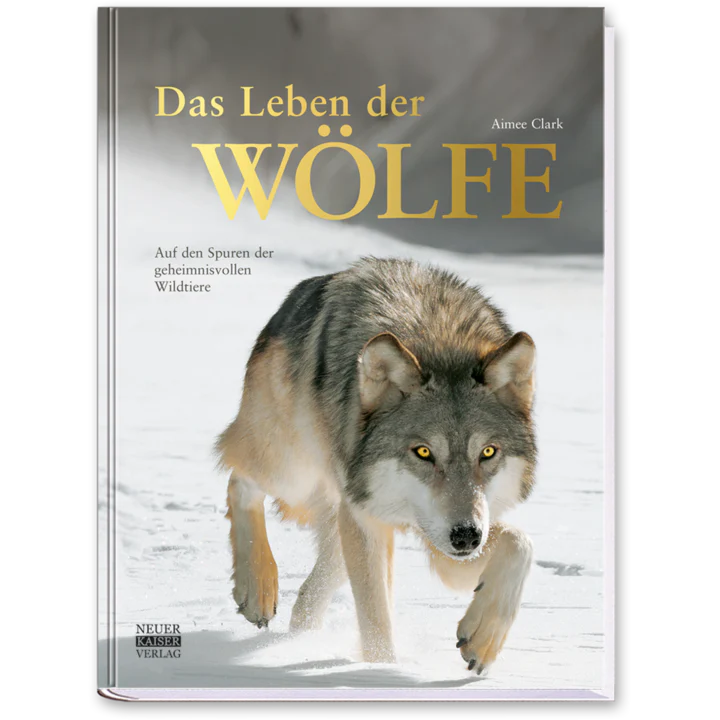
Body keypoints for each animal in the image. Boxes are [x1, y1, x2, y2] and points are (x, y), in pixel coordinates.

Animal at [216, 257, 536, 674]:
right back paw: (257, 590)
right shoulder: (371, 519)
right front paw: (381, 671)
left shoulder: (444, 539)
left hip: (346, 513)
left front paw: (483, 639)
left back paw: (300, 638)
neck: (437, 338)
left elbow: (520, 543)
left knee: (313, 589)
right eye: (423, 452)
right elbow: (375, 618)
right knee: (239, 479)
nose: (466, 536)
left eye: (488, 452)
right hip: (292, 471)